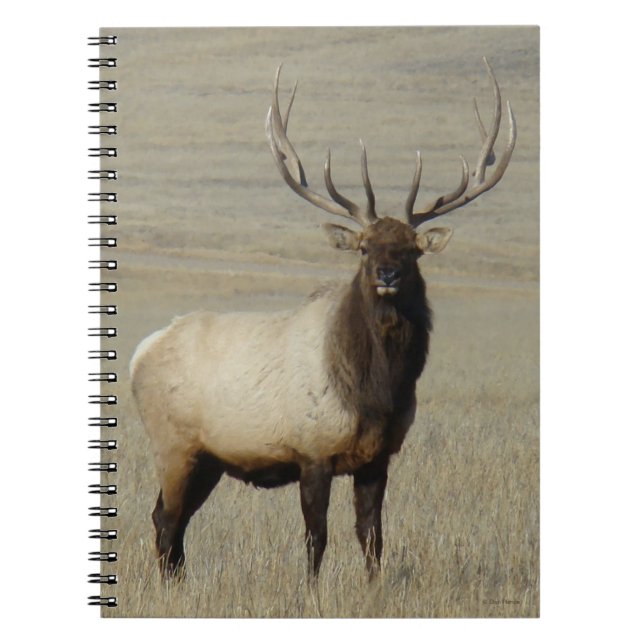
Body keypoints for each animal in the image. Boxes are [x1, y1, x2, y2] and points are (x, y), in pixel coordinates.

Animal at [129, 58, 516, 581]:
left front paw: (374, 589)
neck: (376, 392)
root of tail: (139, 353)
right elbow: (317, 539)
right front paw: (311, 591)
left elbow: (372, 537)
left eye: (412, 249)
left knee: (172, 523)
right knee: (165, 520)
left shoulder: (379, 457)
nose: (388, 274)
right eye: (364, 247)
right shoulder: (311, 451)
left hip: (207, 458)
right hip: (172, 444)